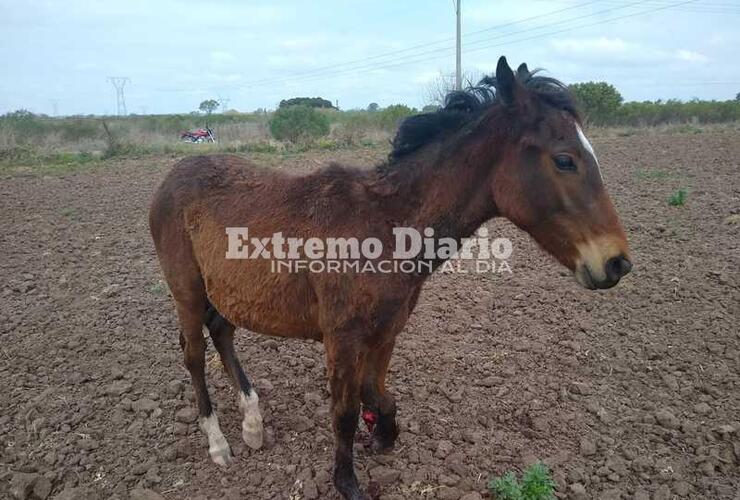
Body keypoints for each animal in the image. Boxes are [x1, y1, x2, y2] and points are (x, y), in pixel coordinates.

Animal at [149, 56, 632, 500]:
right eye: (564, 160)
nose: (616, 263)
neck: (384, 226)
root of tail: (171, 175)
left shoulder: (385, 333)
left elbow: (377, 393)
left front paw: (383, 433)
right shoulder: (342, 338)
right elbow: (344, 412)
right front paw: (347, 481)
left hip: (226, 292)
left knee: (222, 332)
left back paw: (252, 422)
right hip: (187, 291)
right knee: (194, 354)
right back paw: (218, 442)